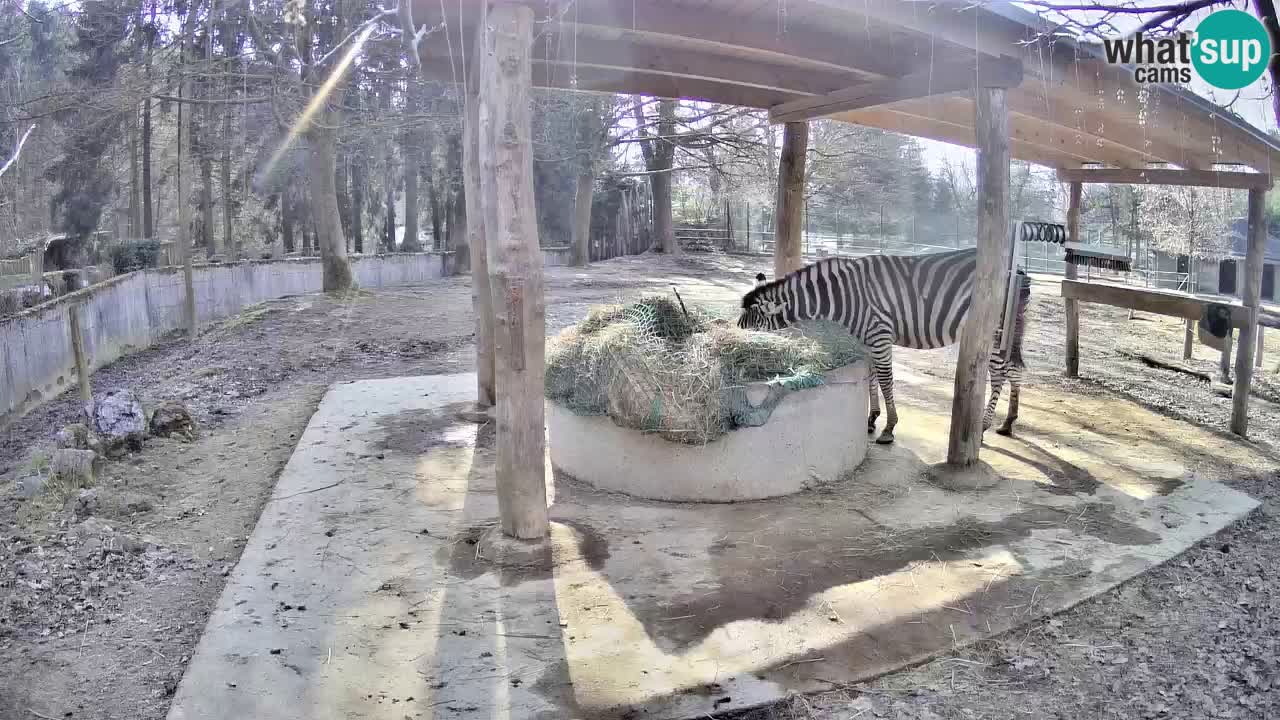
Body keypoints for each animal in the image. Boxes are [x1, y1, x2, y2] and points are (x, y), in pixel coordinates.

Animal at [742, 249, 1029, 445]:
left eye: (751, 320)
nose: (735, 334)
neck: (843, 296)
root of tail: (1017, 270)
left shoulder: (879, 333)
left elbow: (886, 379)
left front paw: (889, 428)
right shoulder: (868, 338)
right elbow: (871, 377)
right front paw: (871, 419)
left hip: (994, 332)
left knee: (1000, 375)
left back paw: (983, 427)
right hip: (1006, 334)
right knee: (1014, 370)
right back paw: (1007, 422)